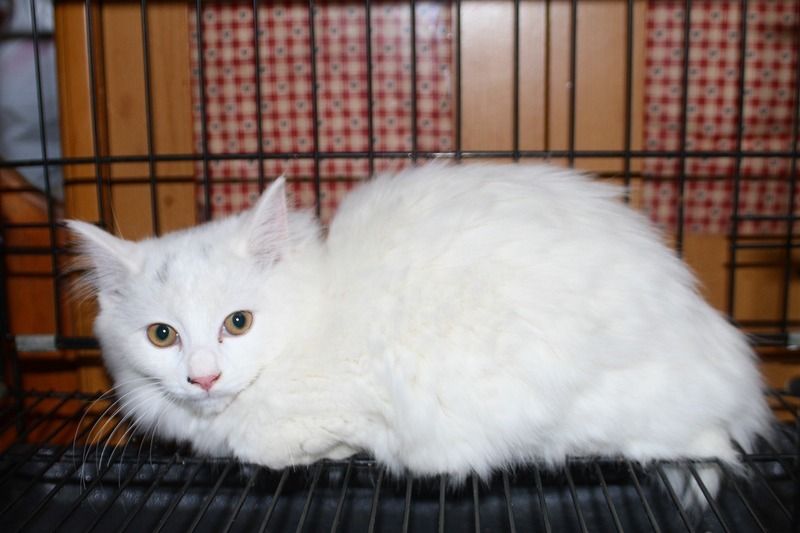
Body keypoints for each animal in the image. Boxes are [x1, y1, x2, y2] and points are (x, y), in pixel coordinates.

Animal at [68, 162, 771, 507]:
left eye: (237, 323)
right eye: (162, 335)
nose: (204, 377)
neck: (320, 305)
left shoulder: (340, 406)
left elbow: (280, 447)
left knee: (707, 445)